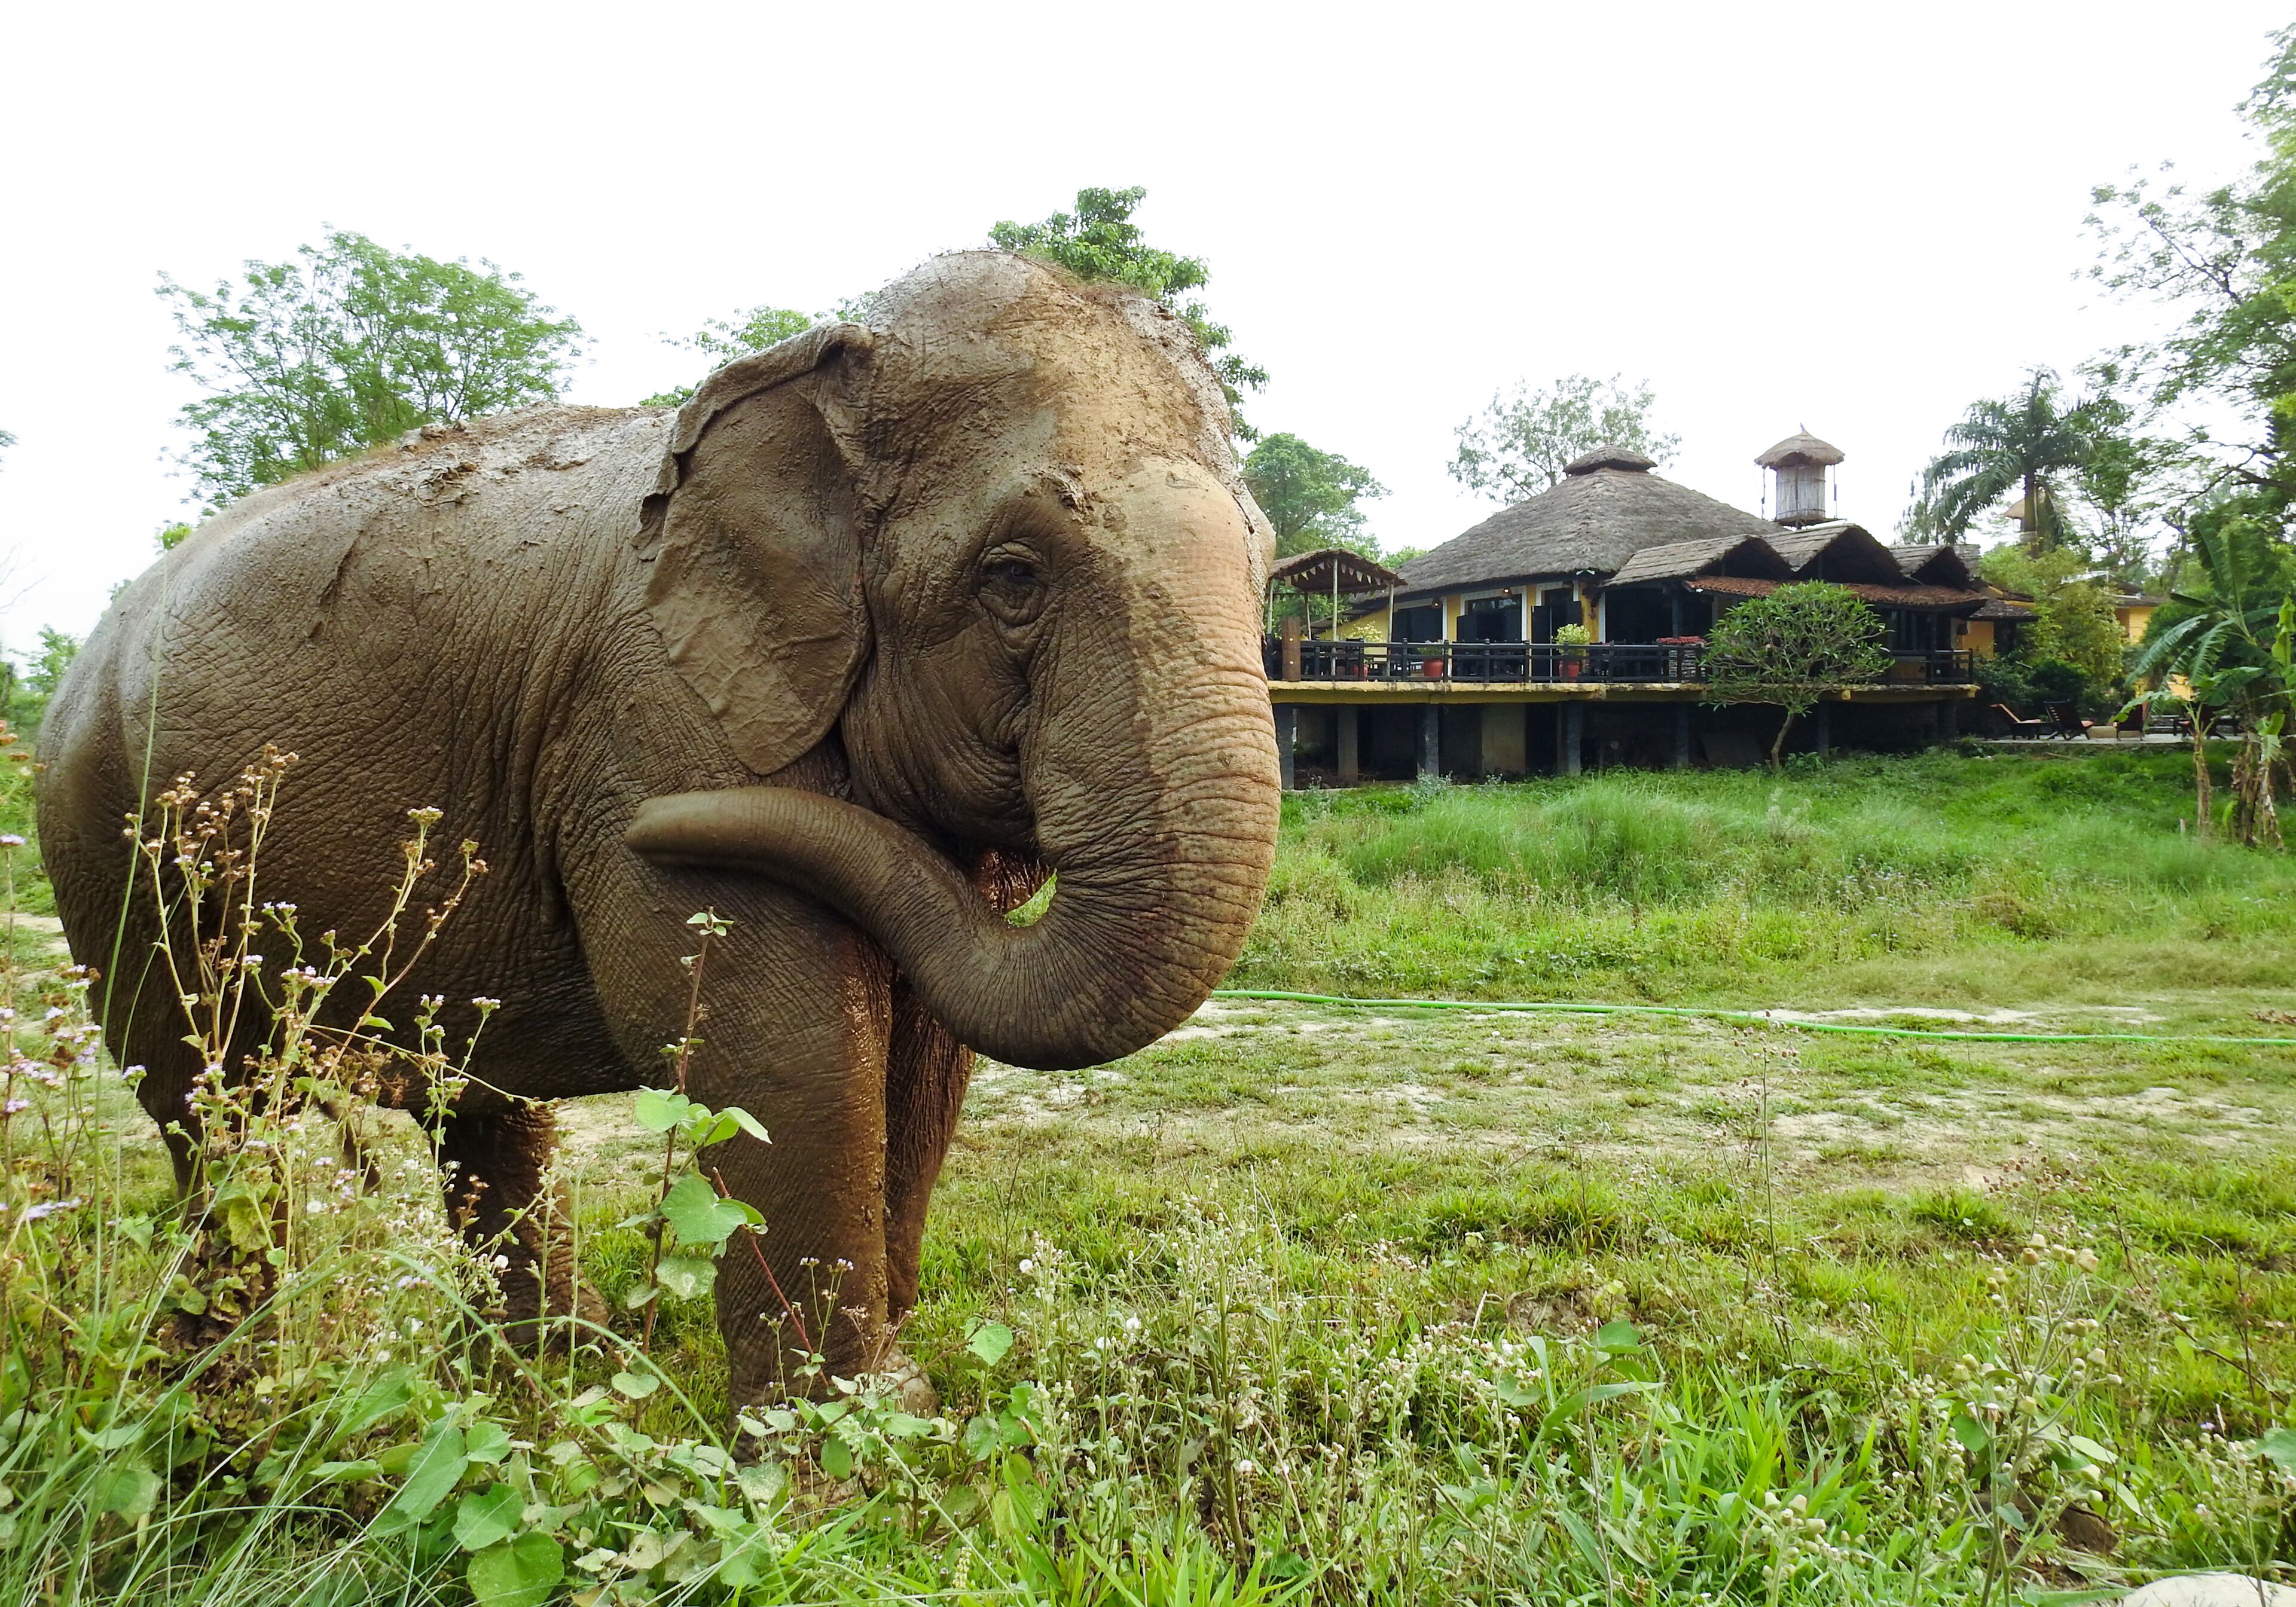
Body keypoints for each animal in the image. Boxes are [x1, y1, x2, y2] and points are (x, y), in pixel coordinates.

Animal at [35, 250, 1282, 1402]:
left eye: (1269, 565)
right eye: (1014, 575)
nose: (661, 830)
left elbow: (927, 1053)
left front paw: (893, 1400)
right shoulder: (655, 712)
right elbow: (776, 1050)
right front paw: (836, 1446)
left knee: (473, 1102)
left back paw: (546, 1378)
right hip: (105, 839)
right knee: (203, 1094)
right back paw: (237, 1394)